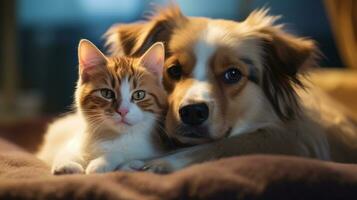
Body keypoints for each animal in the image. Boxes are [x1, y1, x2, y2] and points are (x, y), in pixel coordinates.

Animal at [36, 39, 168, 174]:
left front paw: (101, 162)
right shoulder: (72, 143)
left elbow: (123, 152)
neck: (110, 137)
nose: (123, 111)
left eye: (139, 95)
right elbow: (65, 152)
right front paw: (66, 164)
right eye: (106, 93)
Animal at [103, 5, 356, 173]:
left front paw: (153, 164)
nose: (193, 112)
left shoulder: (288, 137)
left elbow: (227, 145)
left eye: (233, 74)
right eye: (173, 70)